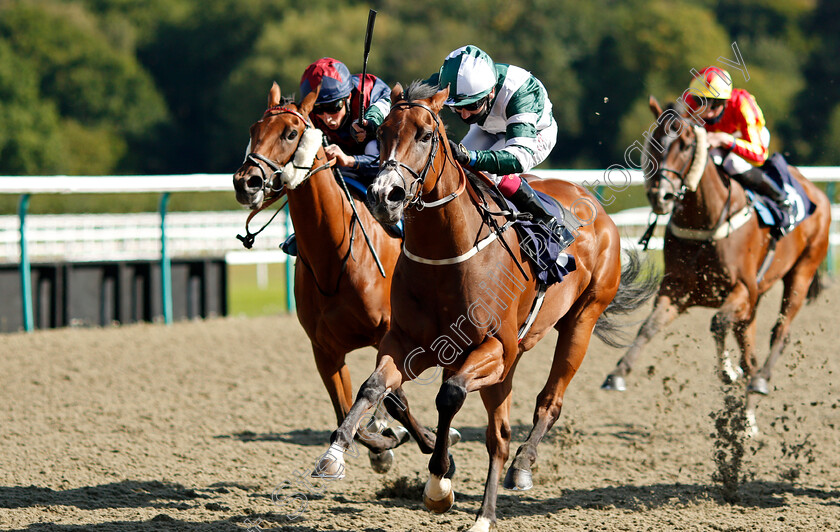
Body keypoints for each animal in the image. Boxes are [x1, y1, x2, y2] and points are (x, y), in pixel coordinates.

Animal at [226, 84, 442, 474]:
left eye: (291, 133)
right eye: (254, 129)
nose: (245, 181)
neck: (335, 255)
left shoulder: (388, 334)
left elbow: (394, 398)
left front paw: (425, 440)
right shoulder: (324, 349)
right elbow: (346, 411)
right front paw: (381, 446)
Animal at [316, 81, 656, 528]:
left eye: (426, 134)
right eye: (383, 132)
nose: (383, 195)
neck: (447, 255)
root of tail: (593, 205)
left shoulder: (493, 346)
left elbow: (449, 396)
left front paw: (439, 481)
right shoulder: (409, 343)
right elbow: (374, 387)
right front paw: (335, 453)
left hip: (579, 321)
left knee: (545, 405)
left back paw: (516, 475)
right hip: (512, 357)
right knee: (500, 433)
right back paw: (486, 508)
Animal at [600, 96, 832, 436]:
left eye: (685, 145)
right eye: (654, 141)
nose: (660, 196)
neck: (704, 221)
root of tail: (816, 192)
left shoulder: (742, 290)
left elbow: (717, 323)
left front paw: (727, 371)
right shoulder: (677, 290)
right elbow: (649, 326)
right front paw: (617, 373)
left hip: (802, 272)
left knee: (781, 332)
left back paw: (761, 381)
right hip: (754, 304)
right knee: (751, 354)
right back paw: (747, 419)